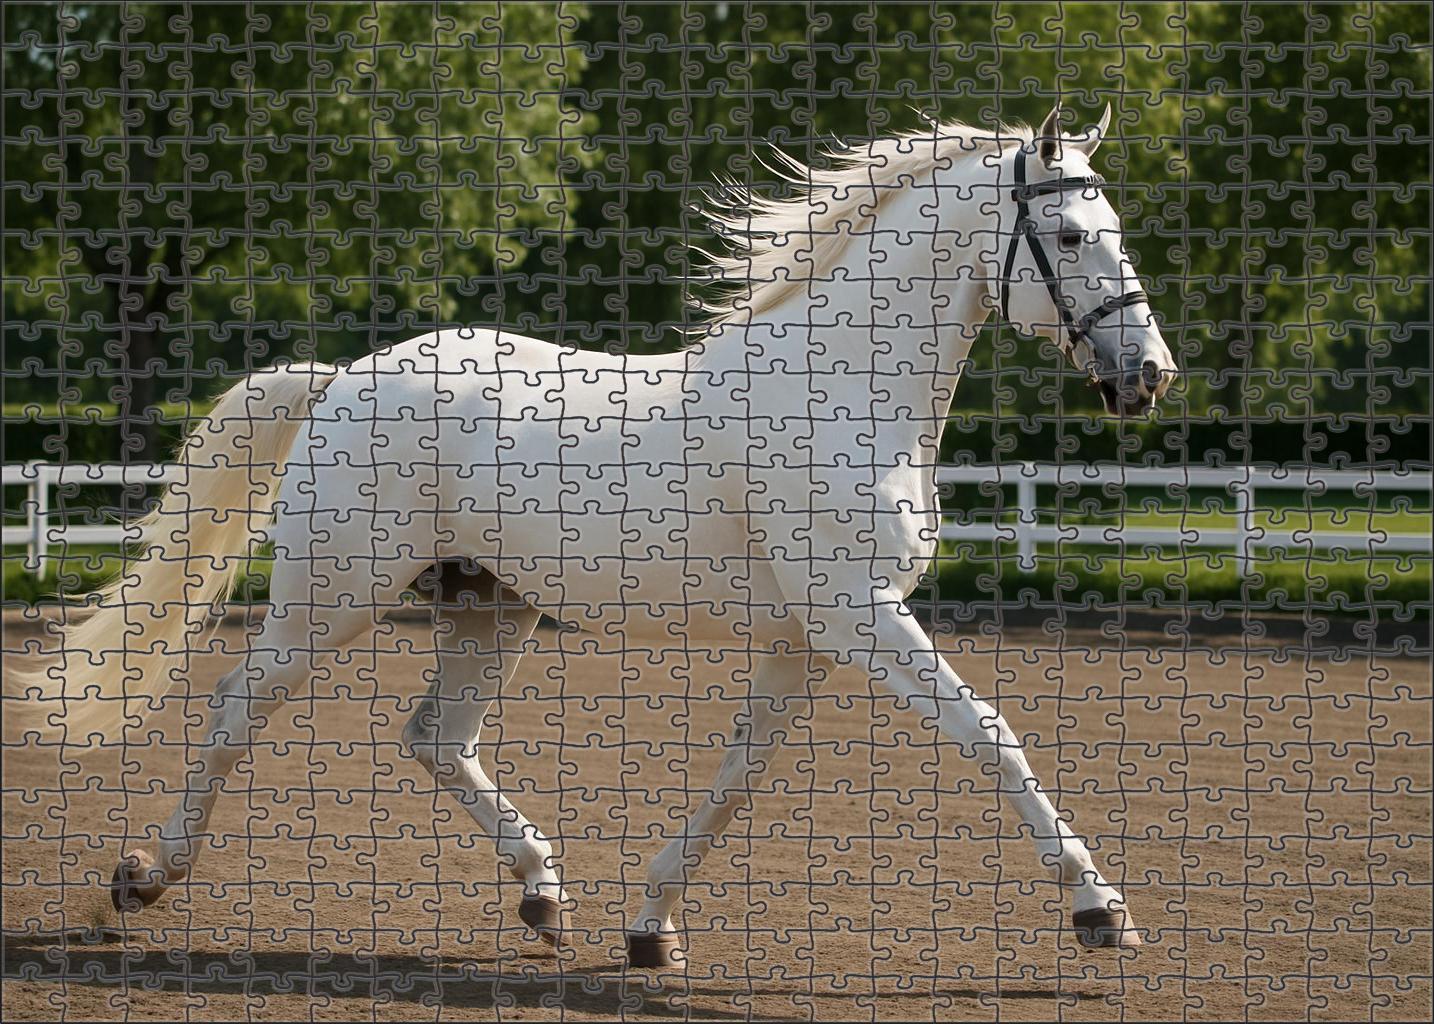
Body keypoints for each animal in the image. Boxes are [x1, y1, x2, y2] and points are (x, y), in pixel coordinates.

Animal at [12, 105, 1177, 967]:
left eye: (1114, 228)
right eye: (1070, 236)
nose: (1150, 376)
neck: (841, 386)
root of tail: (344, 379)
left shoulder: (806, 638)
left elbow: (739, 775)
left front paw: (650, 929)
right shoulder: (859, 617)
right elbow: (991, 735)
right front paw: (1101, 911)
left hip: (491, 608)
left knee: (436, 738)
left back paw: (544, 896)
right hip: (330, 598)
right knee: (235, 707)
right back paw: (143, 877)